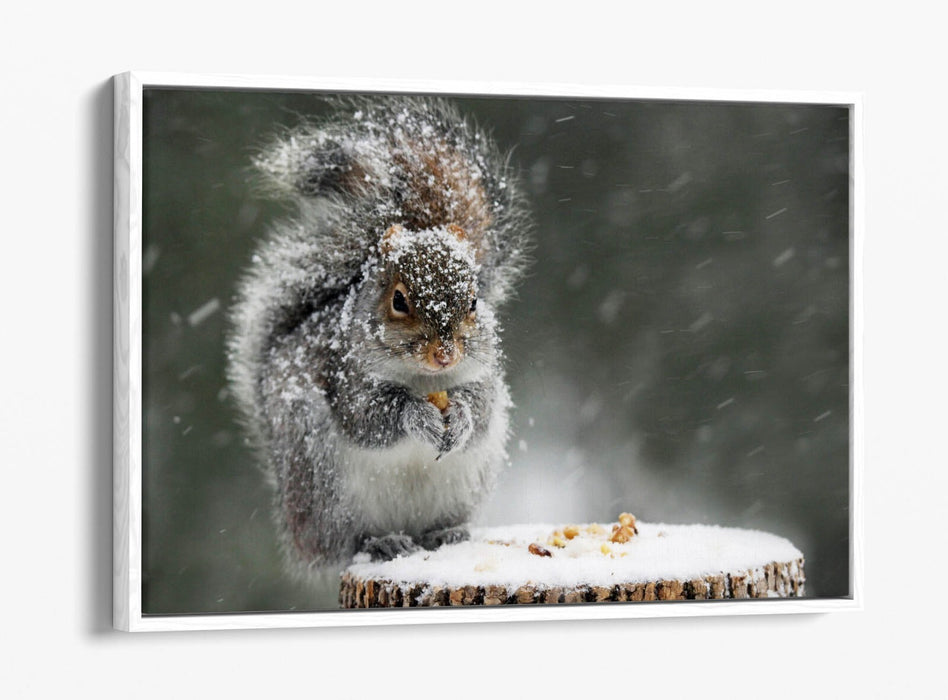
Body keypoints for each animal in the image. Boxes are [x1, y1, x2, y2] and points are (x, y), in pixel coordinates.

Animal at [227, 97, 531, 576]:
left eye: (474, 302)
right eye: (399, 300)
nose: (444, 354)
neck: (426, 381)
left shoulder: (483, 376)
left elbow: (480, 410)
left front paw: (461, 416)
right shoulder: (344, 376)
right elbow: (369, 417)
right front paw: (417, 416)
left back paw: (447, 533)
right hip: (322, 485)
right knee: (343, 544)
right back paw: (380, 542)